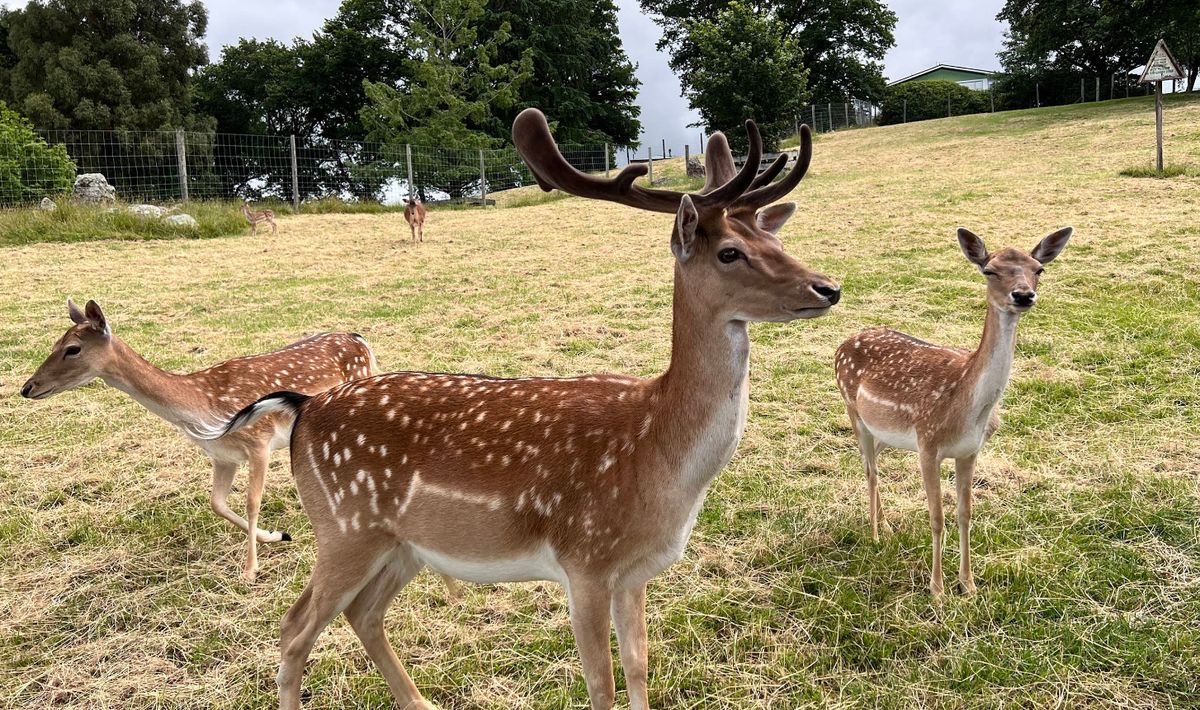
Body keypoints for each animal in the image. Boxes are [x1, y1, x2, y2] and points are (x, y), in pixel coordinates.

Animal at [20, 299, 379, 581]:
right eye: (54, 343)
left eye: (73, 349)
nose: (27, 387)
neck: (202, 411)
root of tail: (359, 338)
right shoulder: (223, 455)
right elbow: (217, 503)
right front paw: (276, 535)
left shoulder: (259, 441)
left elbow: (251, 502)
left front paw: (250, 569)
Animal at [214, 108, 841, 710]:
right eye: (731, 253)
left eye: (777, 243)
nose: (828, 288)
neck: (657, 455)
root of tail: (304, 408)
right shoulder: (584, 560)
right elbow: (602, 684)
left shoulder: (634, 573)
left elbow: (639, 667)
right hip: (344, 528)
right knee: (294, 628)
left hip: (401, 545)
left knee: (361, 613)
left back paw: (422, 702)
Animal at [835, 226, 1073, 596]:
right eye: (989, 270)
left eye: (1039, 269)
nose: (1023, 295)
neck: (969, 410)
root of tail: (842, 344)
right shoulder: (928, 443)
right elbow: (937, 517)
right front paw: (937, 589)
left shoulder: (970, 450)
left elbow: (965, 513)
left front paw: (968, 584)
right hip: (852, 409)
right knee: (870, 470)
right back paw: (874, 533)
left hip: (886, 431)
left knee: (874, 465)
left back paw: (885, 526)